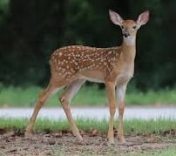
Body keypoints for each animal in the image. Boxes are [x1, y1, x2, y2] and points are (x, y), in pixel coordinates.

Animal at [24, 9, 148, 144]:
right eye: (122, 26)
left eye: (134, 26)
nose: (126, 34)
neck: (123, 59)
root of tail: (51, 58)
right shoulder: (109, 78)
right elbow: (112, 106)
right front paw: (110, 139)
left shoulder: (123, 82)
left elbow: (122, 108)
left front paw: (122, 139)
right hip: (60, 76)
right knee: (42, 95)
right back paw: (27, 133)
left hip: (78, 80)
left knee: (64, 98)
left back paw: (79, 137)